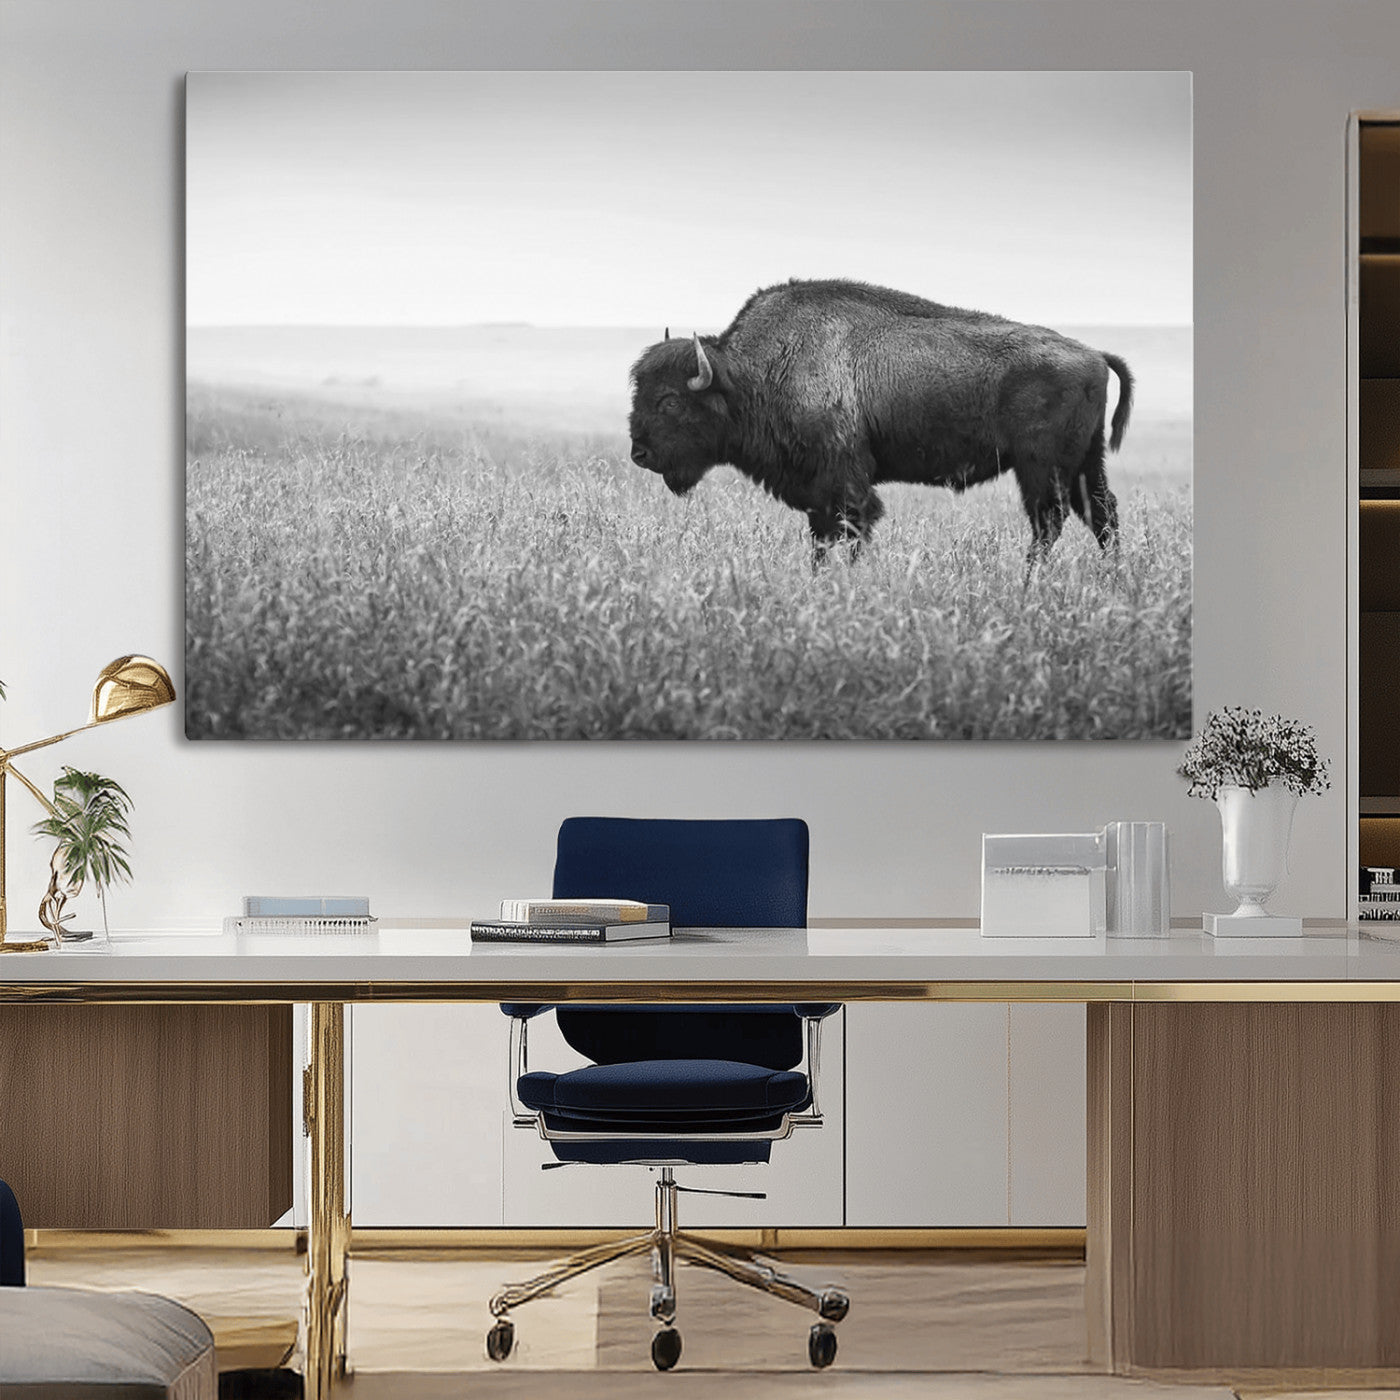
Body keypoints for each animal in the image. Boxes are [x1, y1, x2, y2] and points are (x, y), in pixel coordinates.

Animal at [628, 278, 1133, 568]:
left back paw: (1030, 581)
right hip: (1085, 463)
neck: (751, 374)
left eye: (670, 401)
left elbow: (850, 530)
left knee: (1050, 522)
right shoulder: (818, 494)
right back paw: (1112, 579)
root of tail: (1093, 354)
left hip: (1041, 468)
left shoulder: (844, 484)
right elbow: (822, 539)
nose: (639, 453)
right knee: (1101, 515)